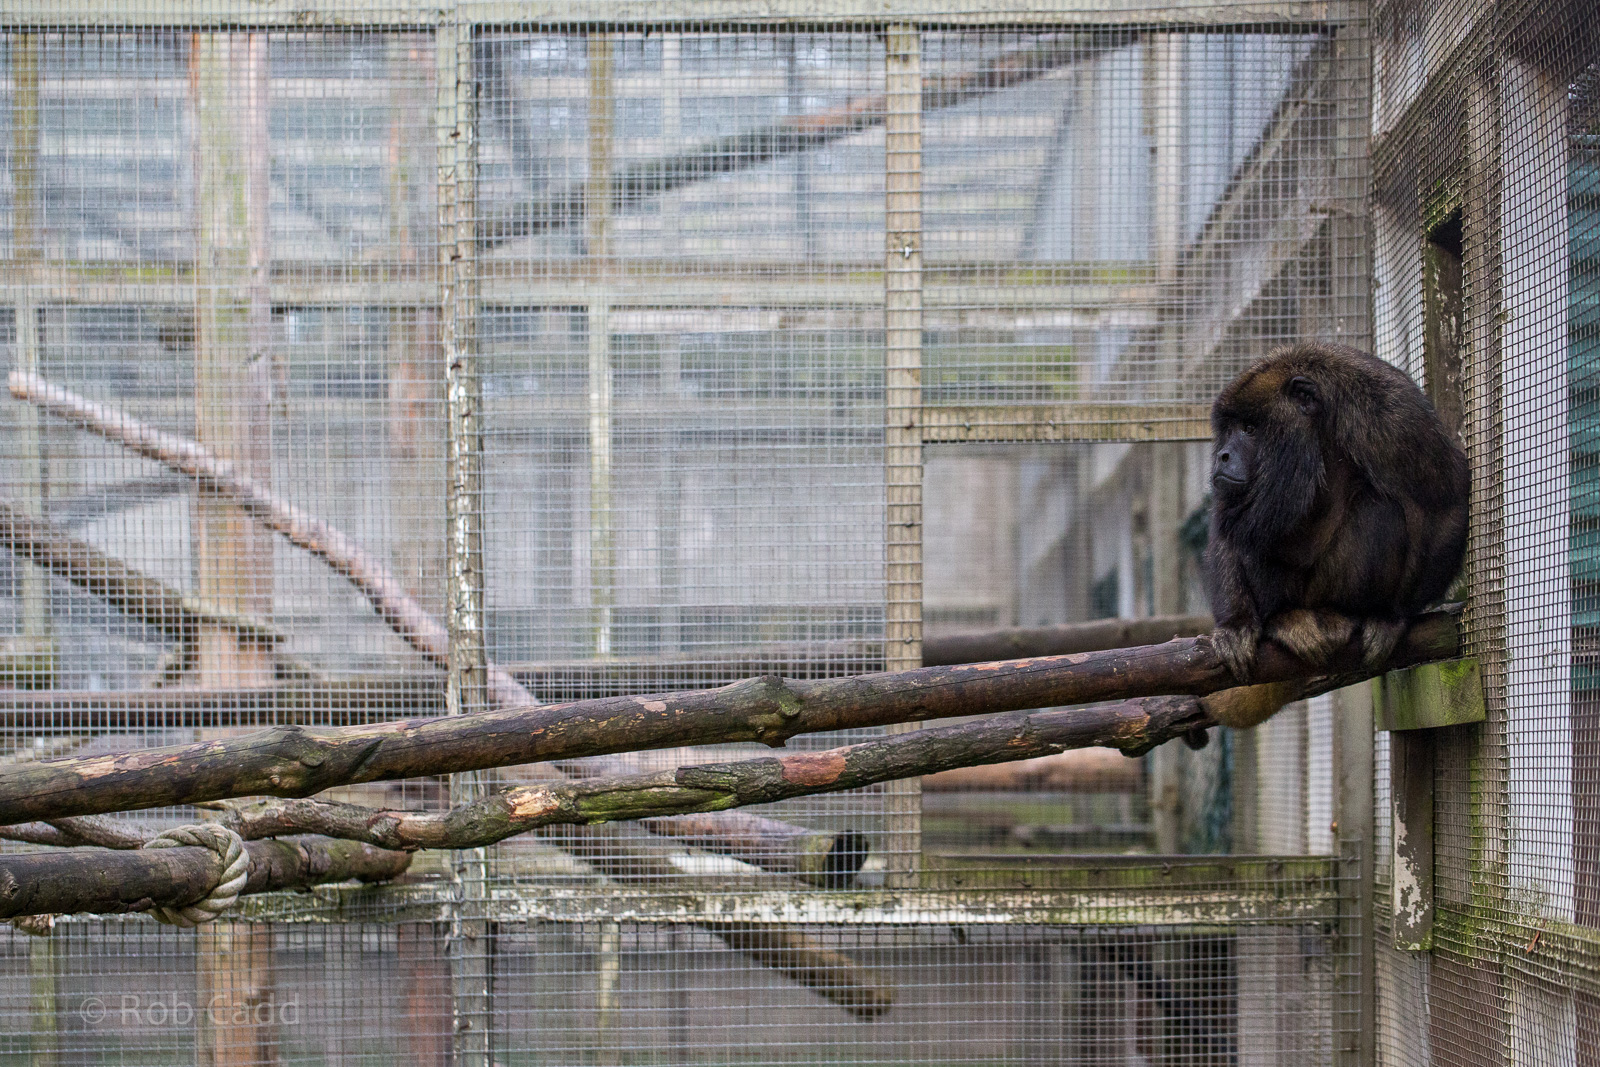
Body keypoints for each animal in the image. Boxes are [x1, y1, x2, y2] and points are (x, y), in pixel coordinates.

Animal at [1201, 343, 1468, 724]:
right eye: (1228, 430)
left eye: (1250, 428)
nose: (1222, 456)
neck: (1319, 434)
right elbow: (1226, 530)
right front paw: (1235, 625)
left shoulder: (1394, 417)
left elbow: (1446, 499)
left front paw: (1393, 616)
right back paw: (1284, 619)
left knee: (1379, 507)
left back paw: (1343, 613)